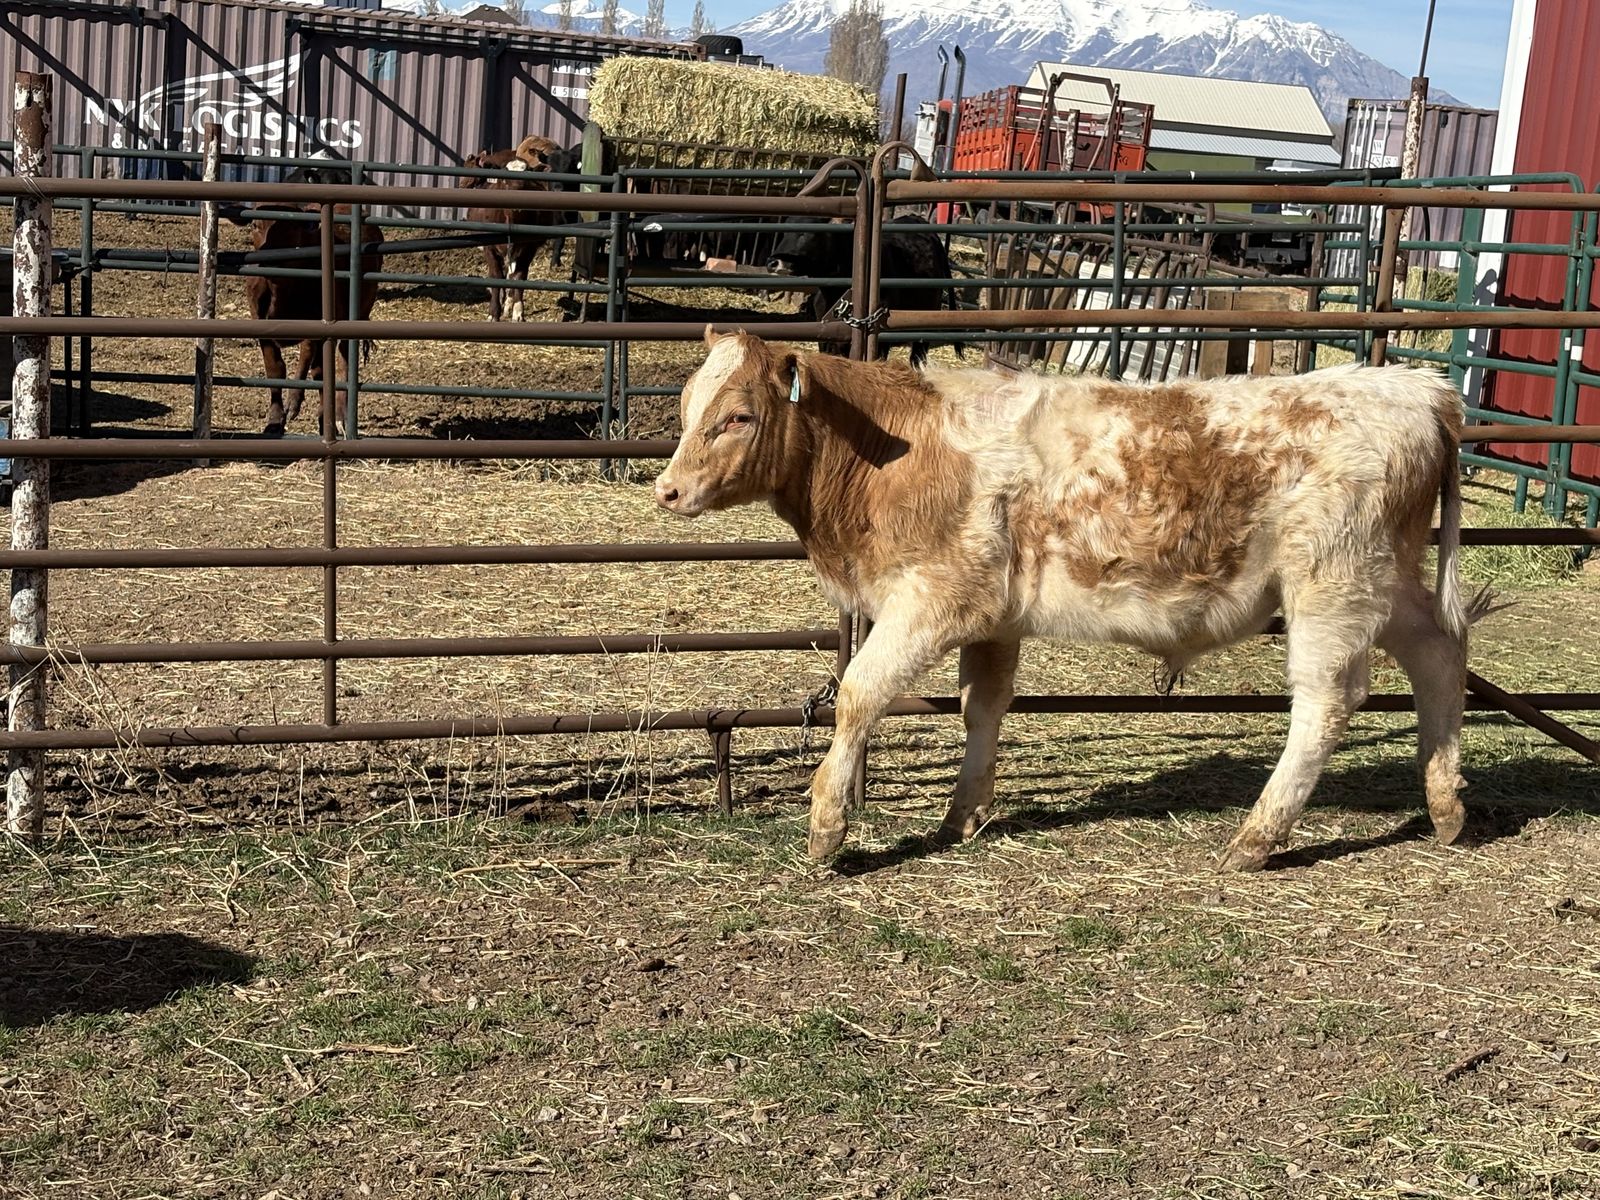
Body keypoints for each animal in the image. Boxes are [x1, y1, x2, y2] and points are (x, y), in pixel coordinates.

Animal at [227, 203, 385, 436]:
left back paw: (339, 416)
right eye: (255, 225)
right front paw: (275, 419)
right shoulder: (260, 325)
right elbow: (275, 368)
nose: (268, 258)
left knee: (341, 363)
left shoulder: (320, 326)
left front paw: (309, 411)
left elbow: (311, 366)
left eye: (292, 227)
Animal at [653, 331, 1477, 871]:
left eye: (738, 416)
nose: (667, 490)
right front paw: (963, 814)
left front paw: (827, 826)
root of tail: (1416, 387)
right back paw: (1443, 804)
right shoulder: (993, 616)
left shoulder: (930, 599)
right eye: (690, 404)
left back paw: (1256, 838)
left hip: (1332, 588)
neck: (898, 449)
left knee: (1325, 703)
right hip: (1387, 583)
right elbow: (981, 707)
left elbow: (860, 694)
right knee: (1441, 656)